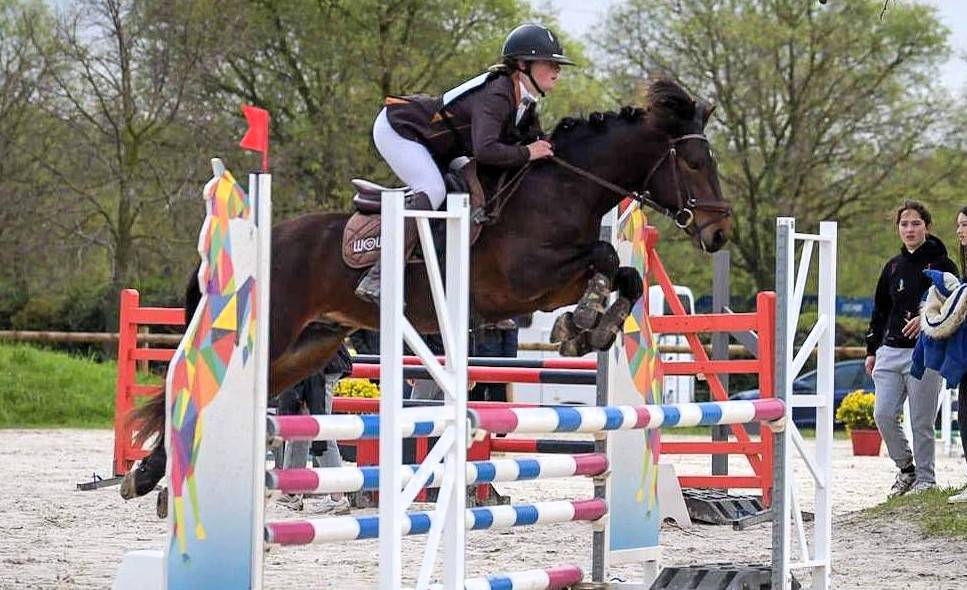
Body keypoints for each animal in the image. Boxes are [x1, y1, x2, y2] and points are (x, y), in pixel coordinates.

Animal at [120, 77, 731, 503]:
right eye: (693, 161)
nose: (718, 233)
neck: (561, 188)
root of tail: (259, 240)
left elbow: (626, 275)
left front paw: (590, 331)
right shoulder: (523, 285)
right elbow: (605, 260)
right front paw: (579, 325)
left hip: (310, 344)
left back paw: (151, 476)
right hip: (276, 330)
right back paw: (148, 478)